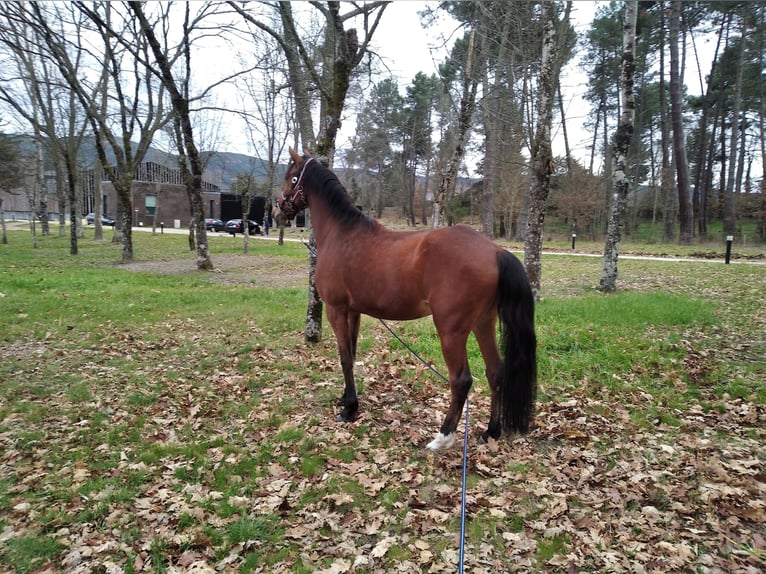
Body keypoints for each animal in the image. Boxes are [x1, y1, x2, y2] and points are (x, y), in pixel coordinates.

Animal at [277, 148, 537, 450]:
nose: (279, 208)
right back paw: (491, 431)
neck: (341, 233)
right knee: (495, 372)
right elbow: (352, 354)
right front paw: (347, 399)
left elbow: (344, 358)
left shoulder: (336, 309)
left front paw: (349, 409)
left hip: (451, 330)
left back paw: (443, 437)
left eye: (292, 177)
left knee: (461, 380)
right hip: (483, 323)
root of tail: (494, 250)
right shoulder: (354, 312)